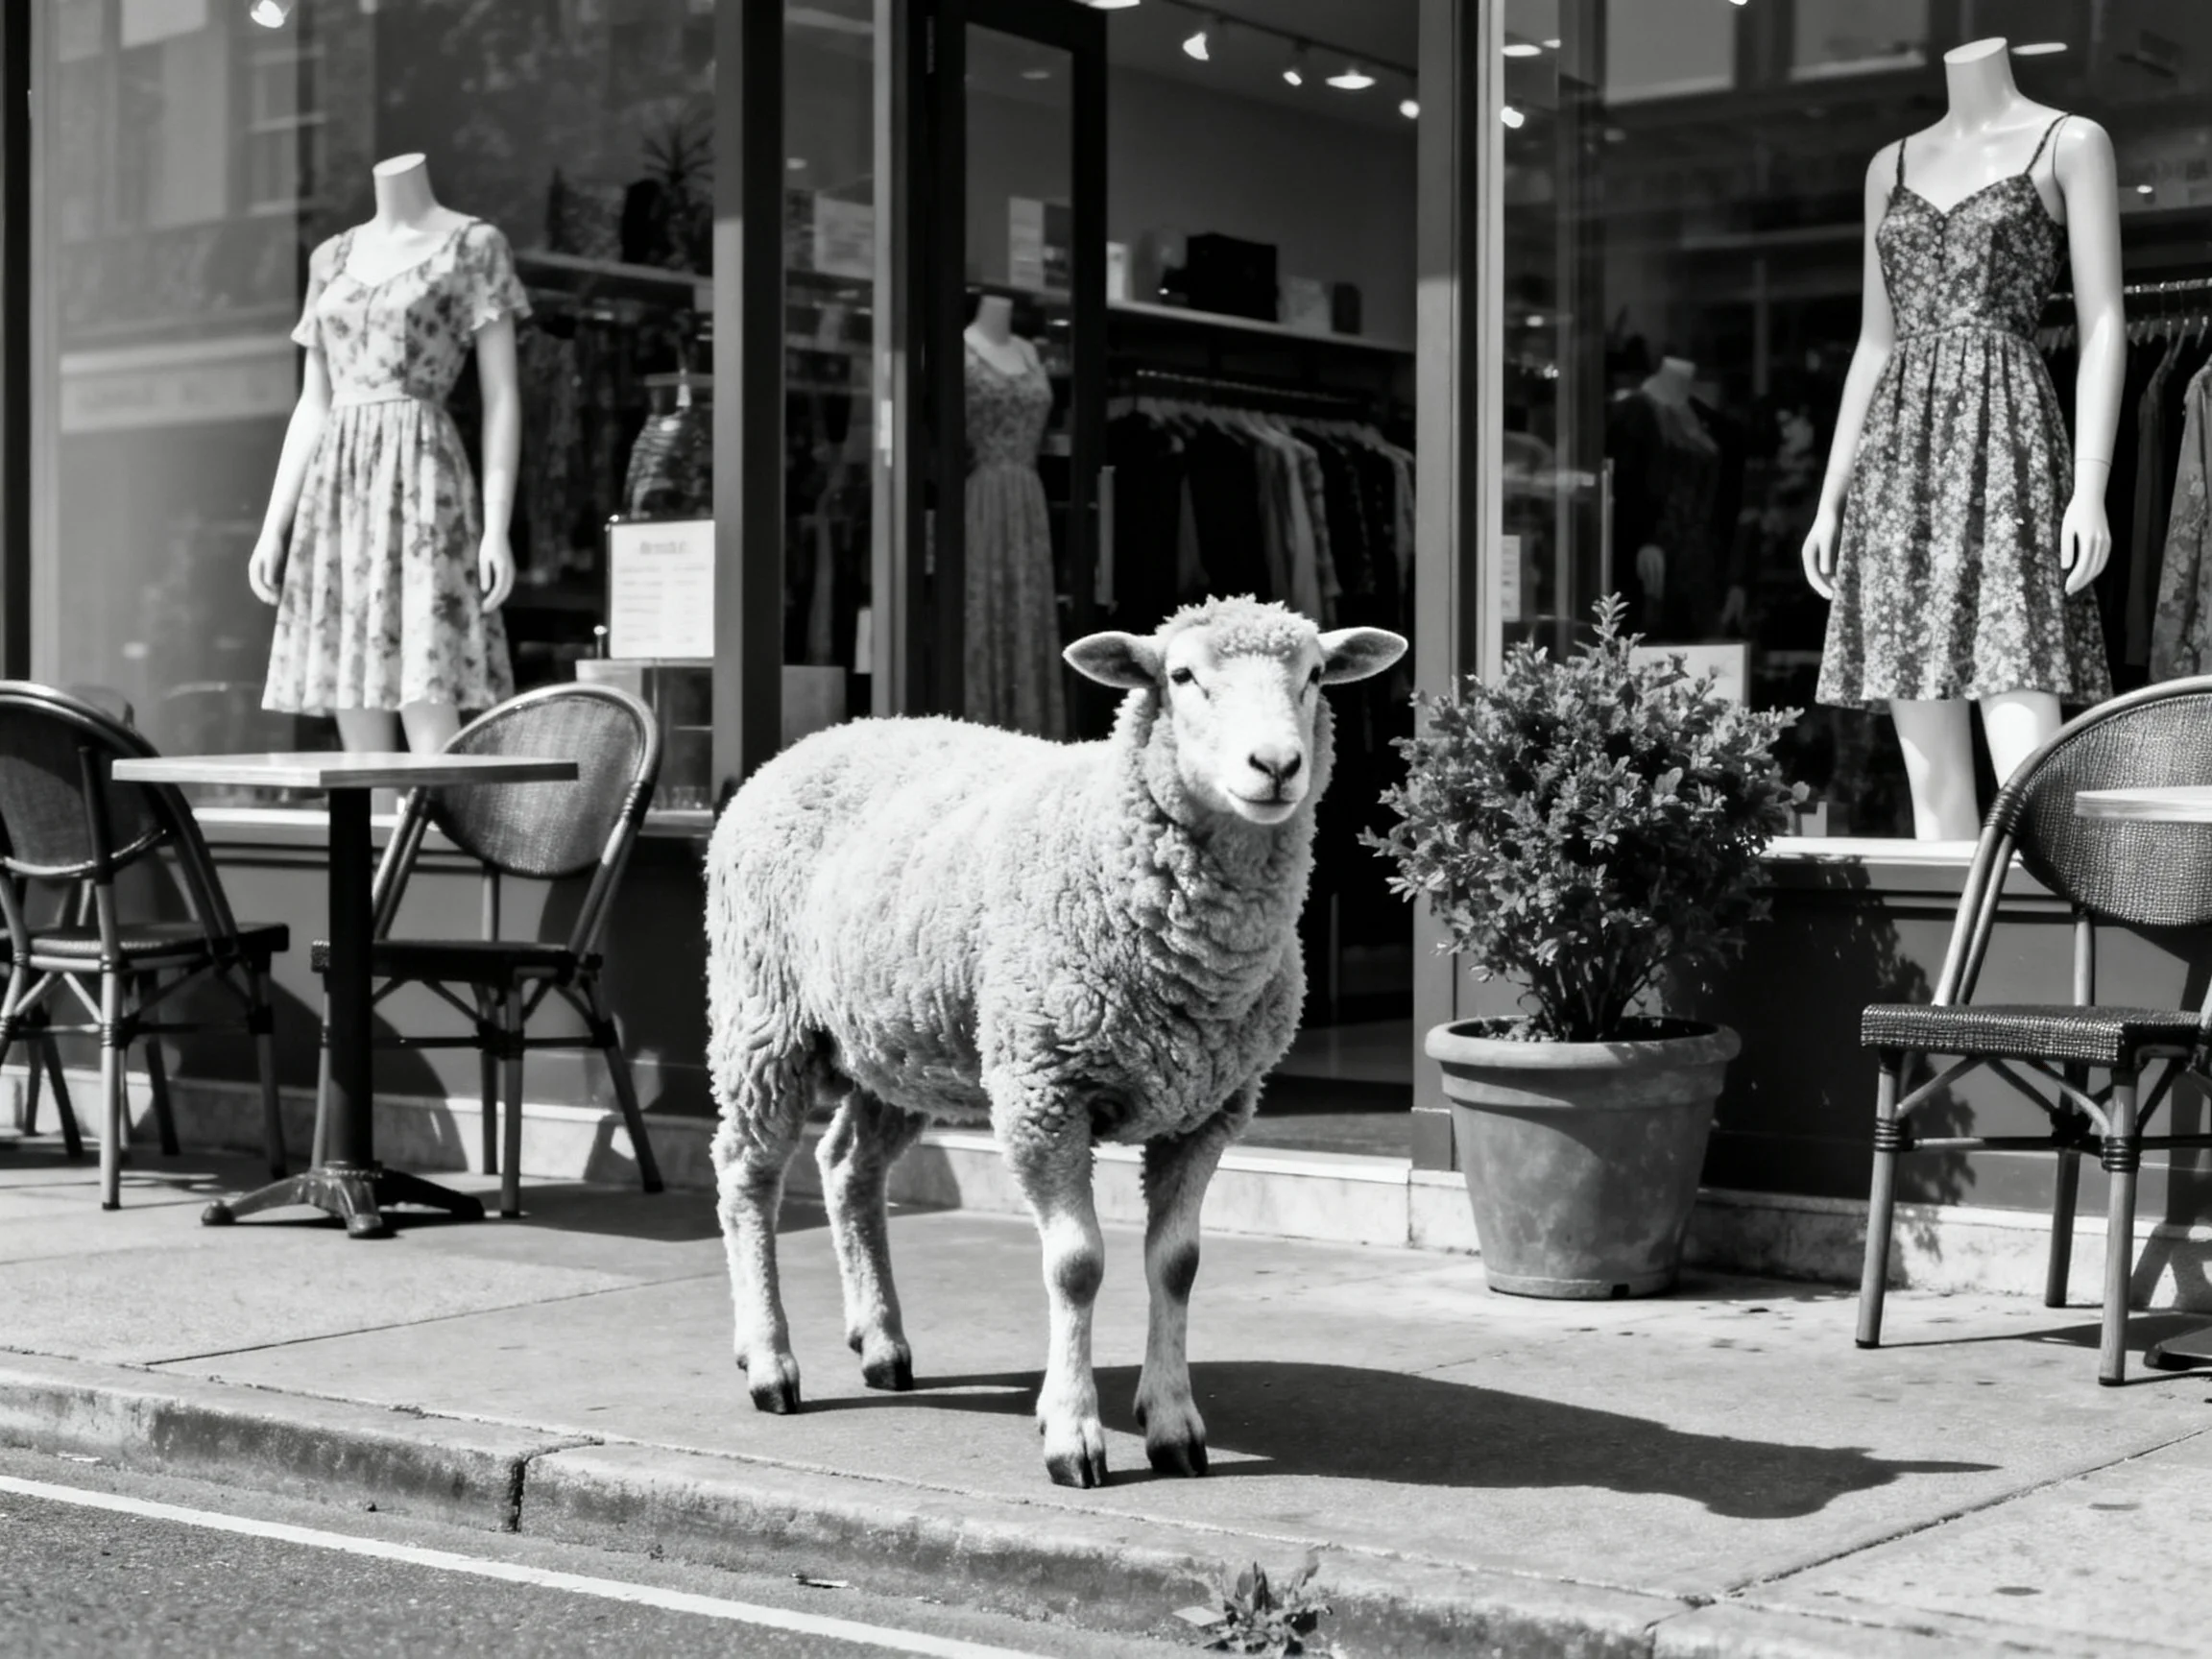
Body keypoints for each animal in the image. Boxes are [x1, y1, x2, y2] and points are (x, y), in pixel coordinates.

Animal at [706, 596, 1408, 1488]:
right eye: (1182, 675)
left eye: (1315, 675)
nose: (1277, 765)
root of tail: (820, 736)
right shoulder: (1045, 1091)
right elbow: (1076, 1266)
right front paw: (1073, 1434)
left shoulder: (1209, 1110)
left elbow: (1177, 1265)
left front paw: (1173, 1425)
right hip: (764, 1016)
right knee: (748, 1177)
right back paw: (769, 1361)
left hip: (901, 1045)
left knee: (848, 1169)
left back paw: (882, 1341)